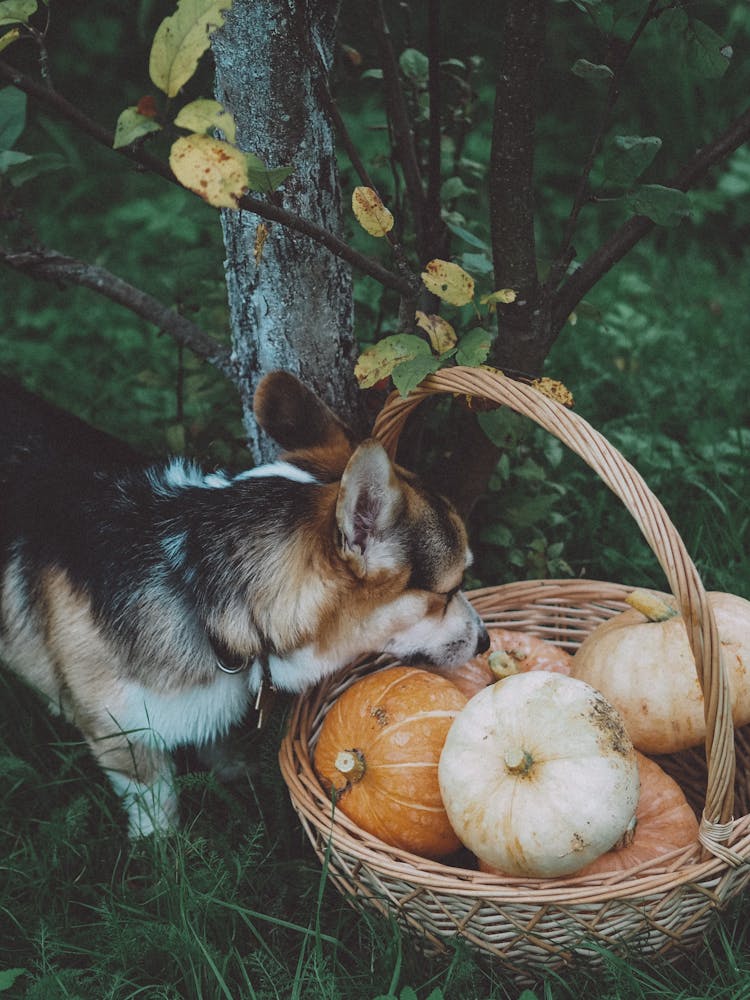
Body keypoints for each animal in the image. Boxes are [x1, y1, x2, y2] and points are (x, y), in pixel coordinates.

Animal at [0, 372, 490, 840]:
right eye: (449, 590)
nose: (486, 641)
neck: (198, 586)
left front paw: (238, 777)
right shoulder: (121, 734)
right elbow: (156, 800)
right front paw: (160, 851)